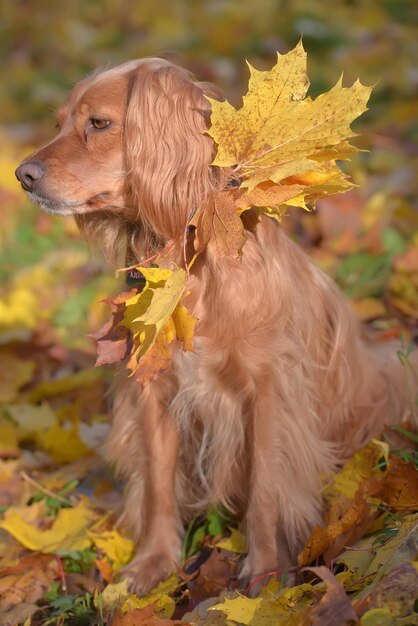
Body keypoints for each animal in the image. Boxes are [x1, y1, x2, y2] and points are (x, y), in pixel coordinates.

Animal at [14, 57, 416, 588]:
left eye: (98, 123)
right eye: (59, 123)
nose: (21, 174)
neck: (189, 268)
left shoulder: (270, 391)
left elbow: (266, 486)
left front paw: (266, 576)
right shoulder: (155, 391)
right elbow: (159, 484)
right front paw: (153, 565)